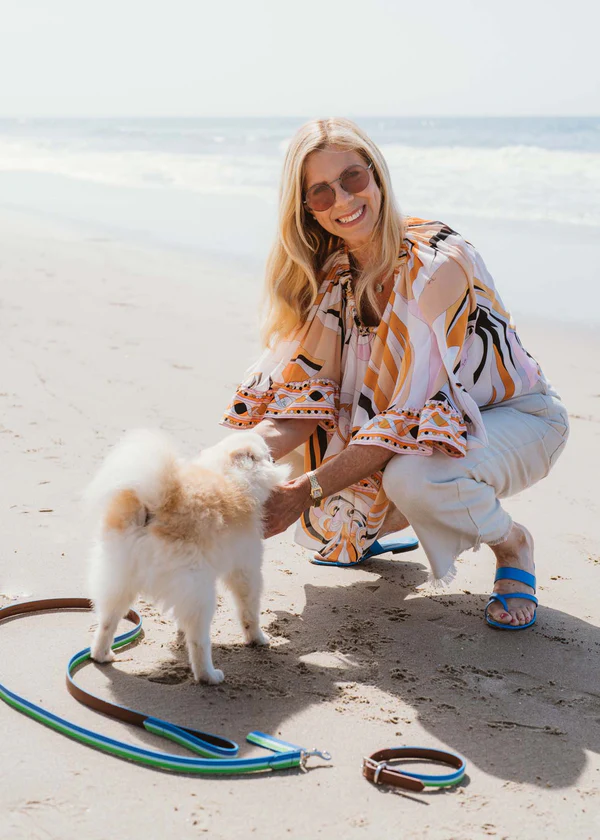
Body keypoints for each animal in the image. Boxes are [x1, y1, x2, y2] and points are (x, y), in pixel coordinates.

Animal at [86, 429, 290, 684]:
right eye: (266, 455)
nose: (274, 457)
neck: (229, 473)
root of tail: (155, 505)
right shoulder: (246, 567)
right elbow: (249, 610)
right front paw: (257, 638)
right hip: (199, 589)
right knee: (199, 640)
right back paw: (209, 675)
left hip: (119, 576)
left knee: (107, 621)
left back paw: (102, 654)